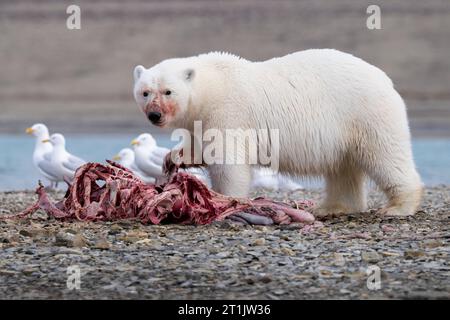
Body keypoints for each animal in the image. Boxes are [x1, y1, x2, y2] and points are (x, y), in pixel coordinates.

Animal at [133, 48, 422, 216]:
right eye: (145, 92)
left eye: (168, 91)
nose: (154, 114)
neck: (212, 85)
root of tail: (386, 80)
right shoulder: (201, 118)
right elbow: (200, 146)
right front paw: (174, 157)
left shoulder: (229, 111)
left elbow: (229, 161)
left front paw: (226, 200)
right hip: (345, 130)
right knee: (344, 168)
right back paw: (332, 207)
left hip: (366, 113)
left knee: (385, 156)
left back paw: (398, 207)